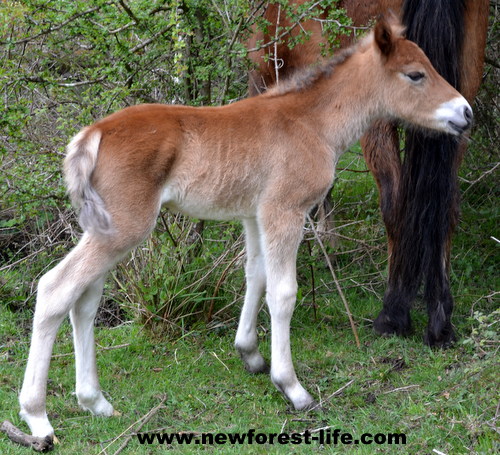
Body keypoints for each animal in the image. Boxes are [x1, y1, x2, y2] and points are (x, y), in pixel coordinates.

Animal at [249, 0, 488, 348]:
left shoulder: (268, 72)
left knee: (395, 203)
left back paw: (393, 313)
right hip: (459, 98)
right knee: (446, 206)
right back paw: (440, 320)